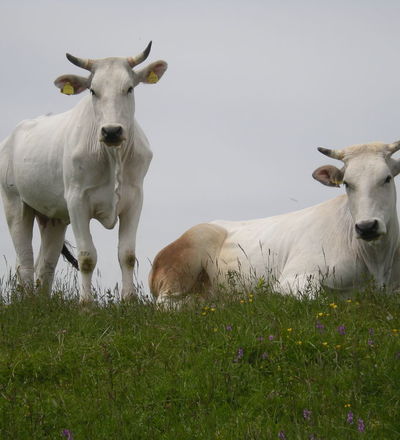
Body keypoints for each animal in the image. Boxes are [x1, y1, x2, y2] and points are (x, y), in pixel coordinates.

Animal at [0, 41, 168, 300]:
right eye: (93, 91)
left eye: (129, 88)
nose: (111, 131)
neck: (112, 156)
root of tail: (12, 137)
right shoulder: (77, 200)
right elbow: (87, 257)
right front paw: (86, 303)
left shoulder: (134, 200)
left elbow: (127, 255)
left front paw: (129, 300)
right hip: (15, 204)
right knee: (24, 261)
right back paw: (27, 303)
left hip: (53, 217)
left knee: (45, 265)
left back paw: (42, 303)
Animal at [149, 142, 400, 306]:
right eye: (347, 183)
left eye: (387, 178)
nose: (367, 227)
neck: (377, 262)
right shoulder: (293, 277)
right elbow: (317, 298)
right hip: (188, 255)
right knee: (169, 303)